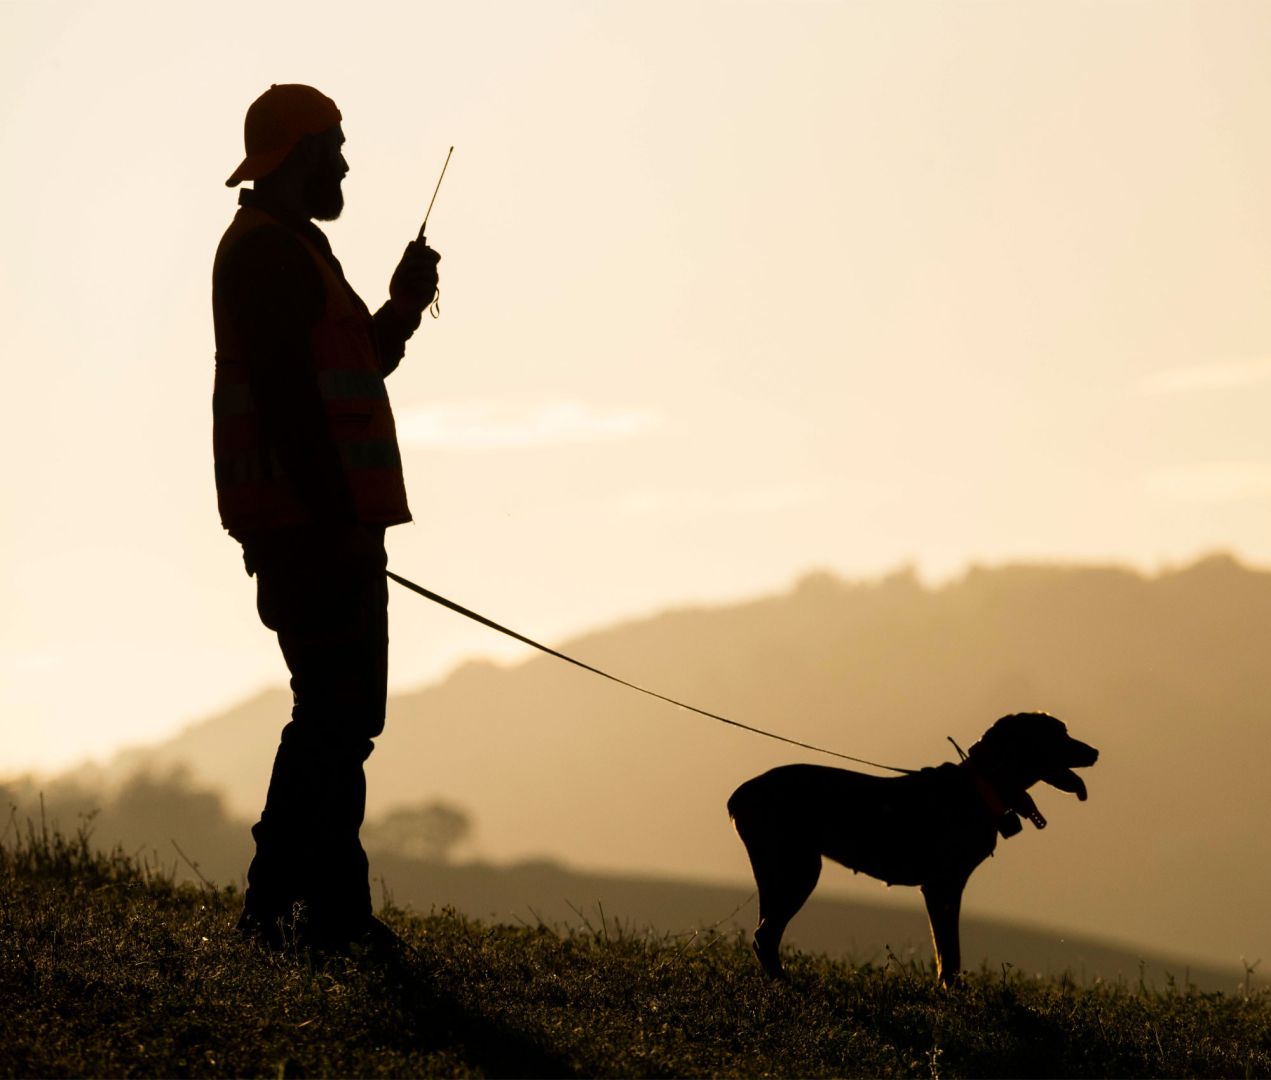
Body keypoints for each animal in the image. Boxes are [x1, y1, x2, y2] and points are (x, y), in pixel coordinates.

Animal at [732, 711, 1098, 980]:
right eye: (1058, 733)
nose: (1095, 752)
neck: (980, 787)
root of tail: (738, 795)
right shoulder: (942, 887)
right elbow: (949, 953)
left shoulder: (946, 887)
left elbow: (948, 951)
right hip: (799, 871)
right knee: (766, 935)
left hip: (779, 871)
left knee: (765, 933)